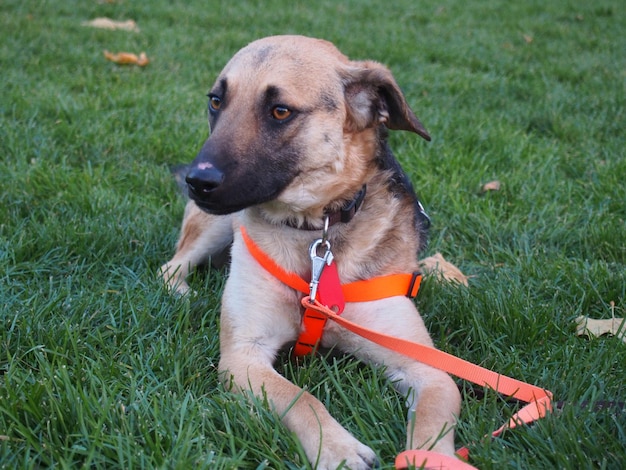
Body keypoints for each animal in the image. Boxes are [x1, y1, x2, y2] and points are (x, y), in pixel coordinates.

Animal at [162, 35, 458, 468]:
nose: (198, 181)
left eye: (280, 111)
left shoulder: (430, 369)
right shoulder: (243, 357)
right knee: (172, 266)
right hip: (212, 227)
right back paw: (183, 292)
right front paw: (337, 448)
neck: (316, 232)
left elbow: (432, 426)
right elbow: (301, 399)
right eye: (216, 101)